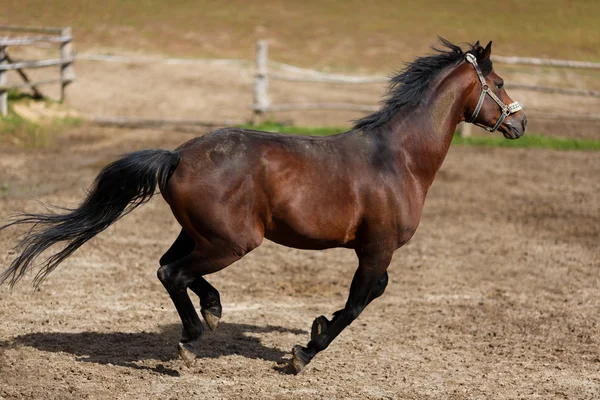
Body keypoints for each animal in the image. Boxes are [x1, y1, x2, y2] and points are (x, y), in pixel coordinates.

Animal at [0, 39, 524, 374]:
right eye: (498, 81)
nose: (520, 124)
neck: (398, 159)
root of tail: (177, 156)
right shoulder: (377, 248)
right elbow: (359, 302)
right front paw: (303, 353)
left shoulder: (375, 251)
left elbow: (370, 295)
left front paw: (313, 328)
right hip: (233, 241)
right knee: (173, 273)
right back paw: (192, 339)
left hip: (203, 234)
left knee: (169, 267)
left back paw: (211, 311)